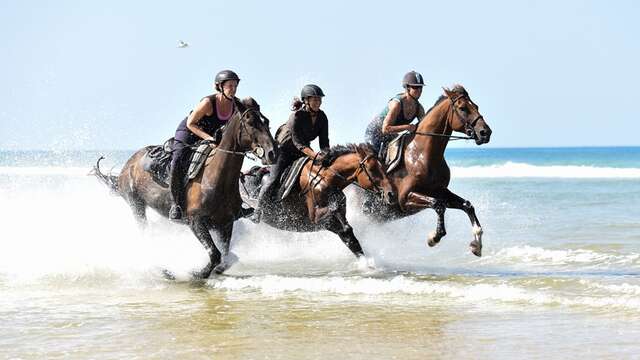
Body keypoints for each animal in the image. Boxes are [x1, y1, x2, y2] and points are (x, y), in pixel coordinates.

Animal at [92, 98, 278, 278]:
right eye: (250, 122)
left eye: (266, 122)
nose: (272, 153)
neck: (215, 179)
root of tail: (128, 164)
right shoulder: (195, 221)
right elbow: (215, 254)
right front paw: (196, 273)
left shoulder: (225, 223)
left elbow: (226, 257)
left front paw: (212, 270)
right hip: (135, 204)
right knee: (145, 236)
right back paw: (163, 270)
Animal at [238, 143, 392, 258]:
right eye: (372, 169)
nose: (390, 194)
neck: (326, 179)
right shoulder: (318, 219)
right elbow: (344, 229)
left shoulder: (338, 214)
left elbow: (348, 233)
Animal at [358, 85, 492, 256]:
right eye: (463, 108)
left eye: (476, 106)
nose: (485, 133)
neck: (422, 155)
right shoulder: (405, 198)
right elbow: (438, 205)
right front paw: (434, 237)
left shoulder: (440, 191)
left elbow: (466, 205)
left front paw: (477, 244)